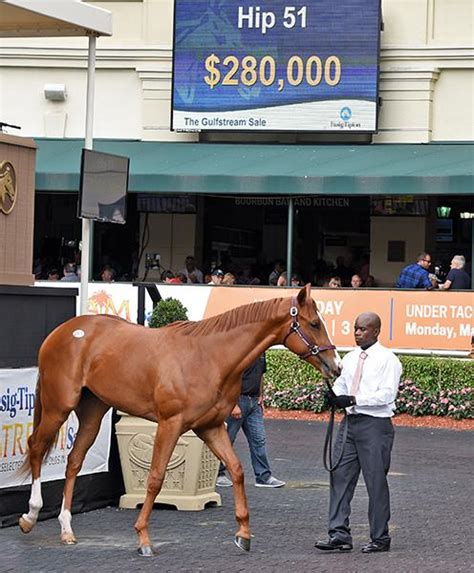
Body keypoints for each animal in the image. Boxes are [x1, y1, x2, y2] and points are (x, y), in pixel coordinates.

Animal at [18, 284, 340, 556]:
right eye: (314, 324)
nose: (335, 366)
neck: (209, 357)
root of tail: (61, 332)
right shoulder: (170, 425)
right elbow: (155, 478)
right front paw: (143, 537)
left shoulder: (210, 427)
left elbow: (236, 470)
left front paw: (243, 534)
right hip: (59, 407)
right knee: (36, 447)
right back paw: (30, 516)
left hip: (93, 413)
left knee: (73, 461)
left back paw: (66, 529)